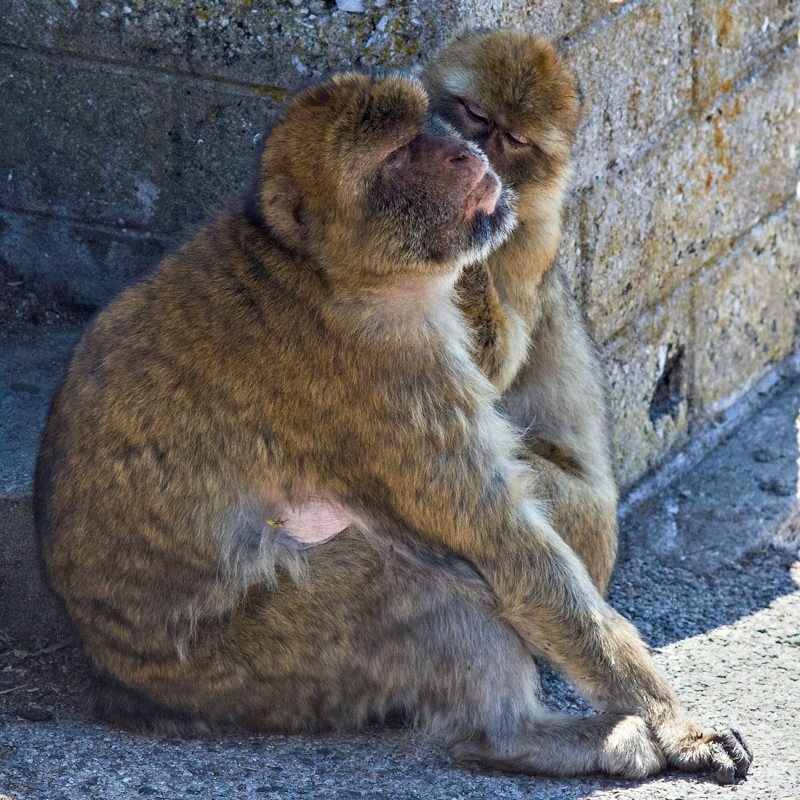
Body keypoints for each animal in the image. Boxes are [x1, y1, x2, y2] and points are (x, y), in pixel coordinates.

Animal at [424, 29, 620, 592]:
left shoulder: (533, 241)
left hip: (580, 518)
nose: (478, 159)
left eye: (514, 140)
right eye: (476, 114)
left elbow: (496, 367)